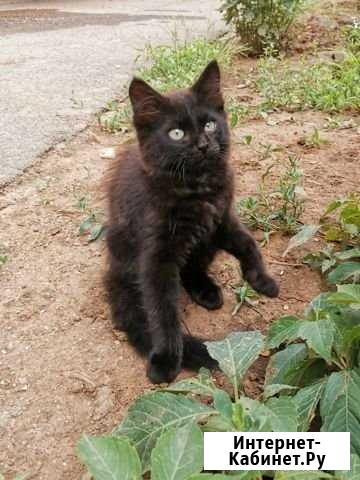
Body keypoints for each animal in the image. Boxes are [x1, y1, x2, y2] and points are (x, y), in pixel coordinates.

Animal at [104, 61, 278, 382]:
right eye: (176, 133)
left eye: (209, 124)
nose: (203, 144)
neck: (197, 187)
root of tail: (111, 273)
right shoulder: (156, 255)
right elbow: (162, 310)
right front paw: (166, 358)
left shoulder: (221, 220)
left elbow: (248, 243)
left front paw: (261, 279)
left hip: (203, 243)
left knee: (191, 269)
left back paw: (206, 291)